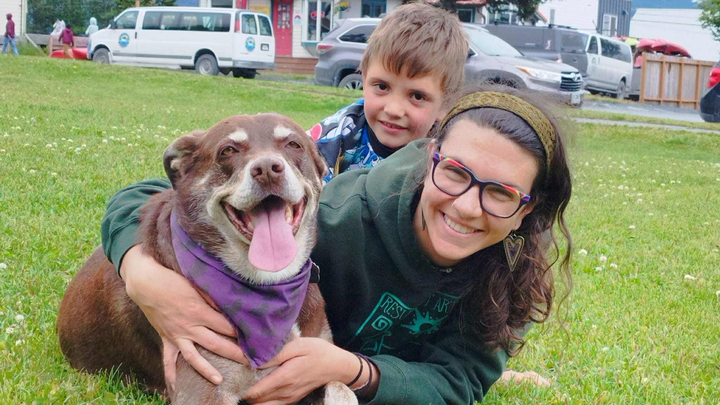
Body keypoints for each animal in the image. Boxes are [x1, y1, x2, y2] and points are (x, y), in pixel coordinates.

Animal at [57, 114, 357, 405]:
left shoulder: (317, 360)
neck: (269, 284)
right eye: (228, 150)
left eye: (294, 144)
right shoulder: (203, 387)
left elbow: (343, 390)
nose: (267, 169)